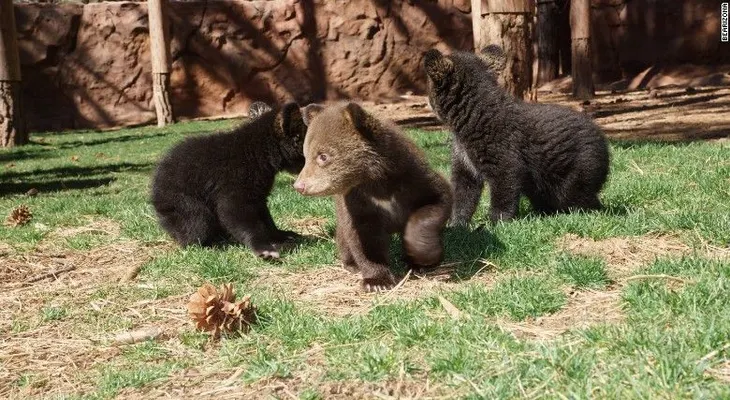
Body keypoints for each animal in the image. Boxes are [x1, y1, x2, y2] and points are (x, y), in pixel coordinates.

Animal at [151, 102, 307, 259]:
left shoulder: (258, 195)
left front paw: (280, 235)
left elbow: (266, 217)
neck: (257, 152)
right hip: (183, 204)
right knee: (196, 224)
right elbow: (237, 214)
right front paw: (263, 248)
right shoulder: (233, 187)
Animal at [292, 102, 453, 292]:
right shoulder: (356, 202)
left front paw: (422, 256)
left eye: (323, 156)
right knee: (344, 238)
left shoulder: (413, 178)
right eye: (306, 156)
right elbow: (364, 237)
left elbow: (436, 201)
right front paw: (377, 282)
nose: (299, 186)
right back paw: (352, 264)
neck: (374, 182)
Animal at [423, 46, 610, 225]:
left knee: (577, 197)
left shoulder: (502, 152)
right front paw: (456, 223)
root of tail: (603, 139)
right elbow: (463, 191)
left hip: (577, 169)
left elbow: (505, 185)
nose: (427, 102)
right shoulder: (464, 159)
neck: (469, 120)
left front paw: (498, 221)